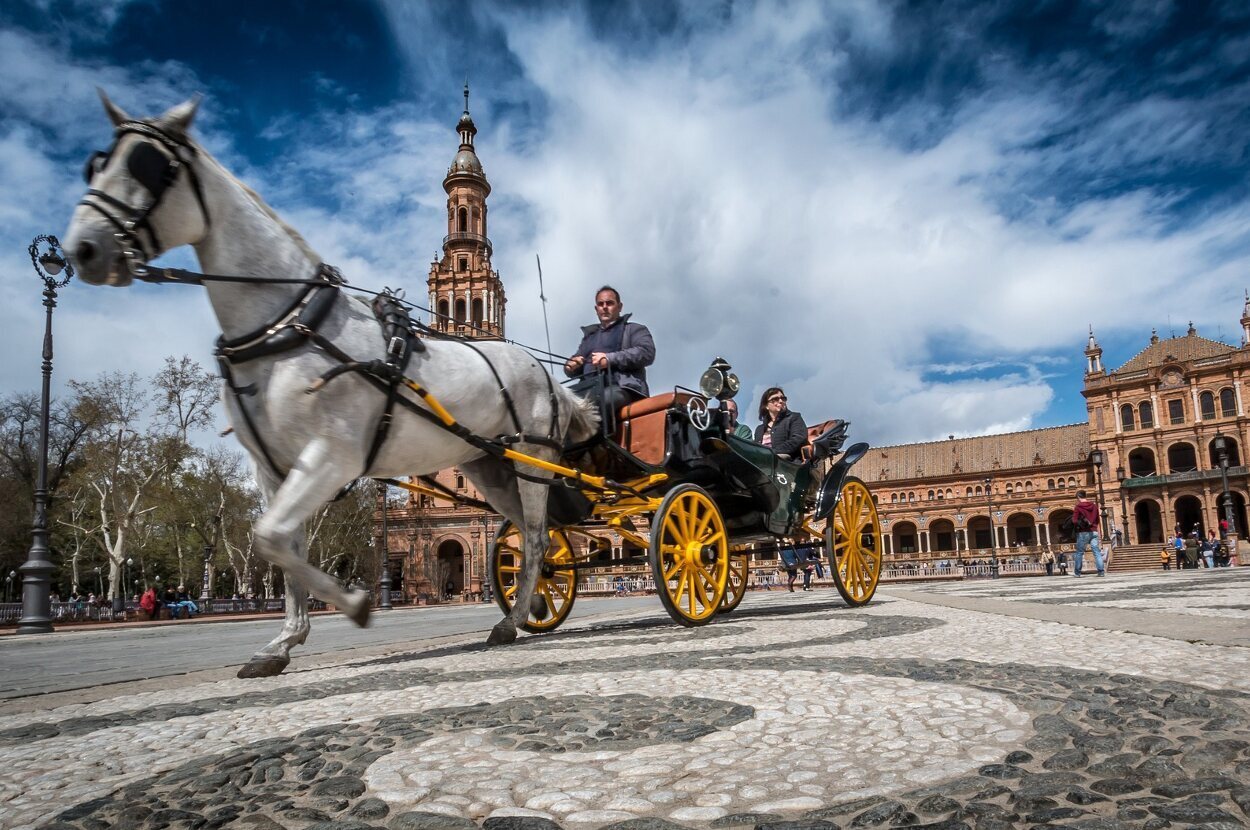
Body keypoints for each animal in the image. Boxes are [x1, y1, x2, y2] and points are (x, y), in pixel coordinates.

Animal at [63, 92, 600, 675]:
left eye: (148, 165)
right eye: (96, 164)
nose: (83, 248)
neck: (289, 324)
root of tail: (544, 375)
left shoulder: (332, 455)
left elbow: (274, 539)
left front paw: (354, 604)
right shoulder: (277, 469)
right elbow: (280, 544)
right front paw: (285, 640)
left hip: (532, 460)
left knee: (535, 536)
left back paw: (512, 619)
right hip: (491, 467)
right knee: (532, 535)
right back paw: (526, 611)